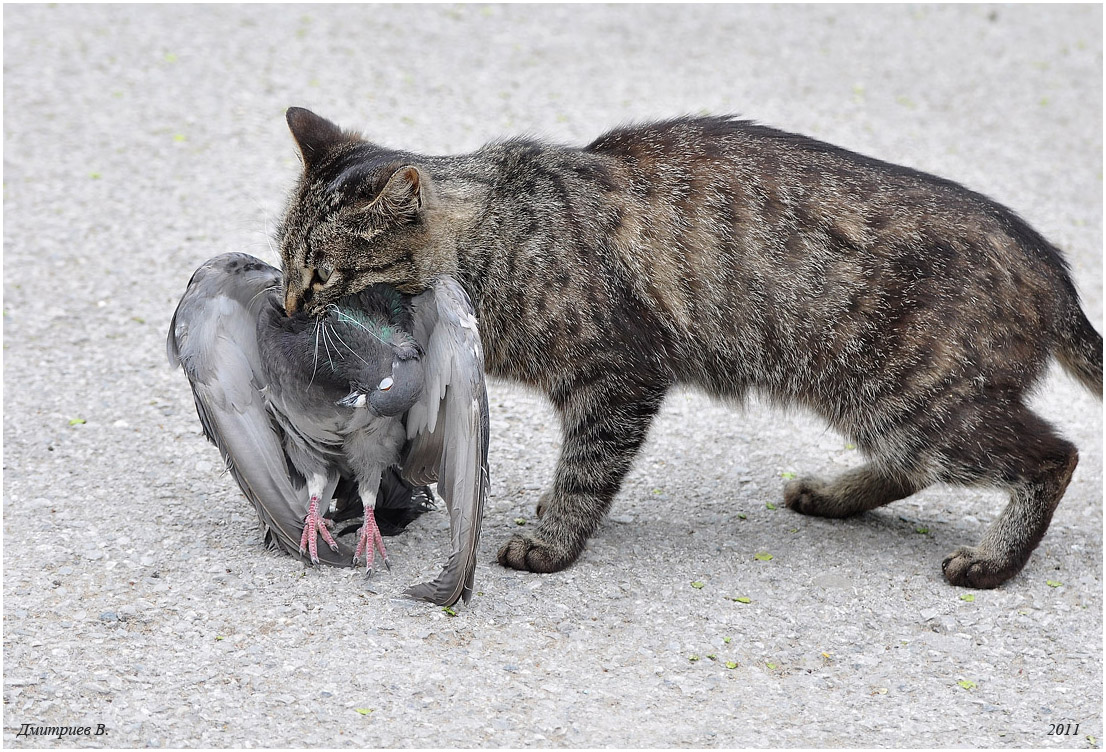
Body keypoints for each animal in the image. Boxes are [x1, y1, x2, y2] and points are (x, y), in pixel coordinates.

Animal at [274, 107, 1097, 588]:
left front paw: (552, 541)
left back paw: (993, 560)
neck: (499, 237)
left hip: (918, 398)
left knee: (1054, 456)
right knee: (913, 466)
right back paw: (833, 495)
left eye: (324, 274)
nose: (284, 306)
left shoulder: (616, 380)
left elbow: (586, 472)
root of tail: (1051, 268)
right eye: (285, 259)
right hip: (875, 400)